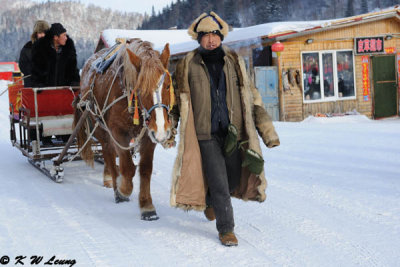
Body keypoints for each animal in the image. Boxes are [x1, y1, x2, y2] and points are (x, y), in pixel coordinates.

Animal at [74, 38, 173, 221]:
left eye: (168, 85)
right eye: (141, 88)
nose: (162, 130)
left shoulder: (149, 135)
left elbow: (145, 169)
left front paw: (147, 206)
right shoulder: (118, 132)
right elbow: (127, 169)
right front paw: (122, 188)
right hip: (100, 126)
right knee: (108, 153)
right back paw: (115, 183)